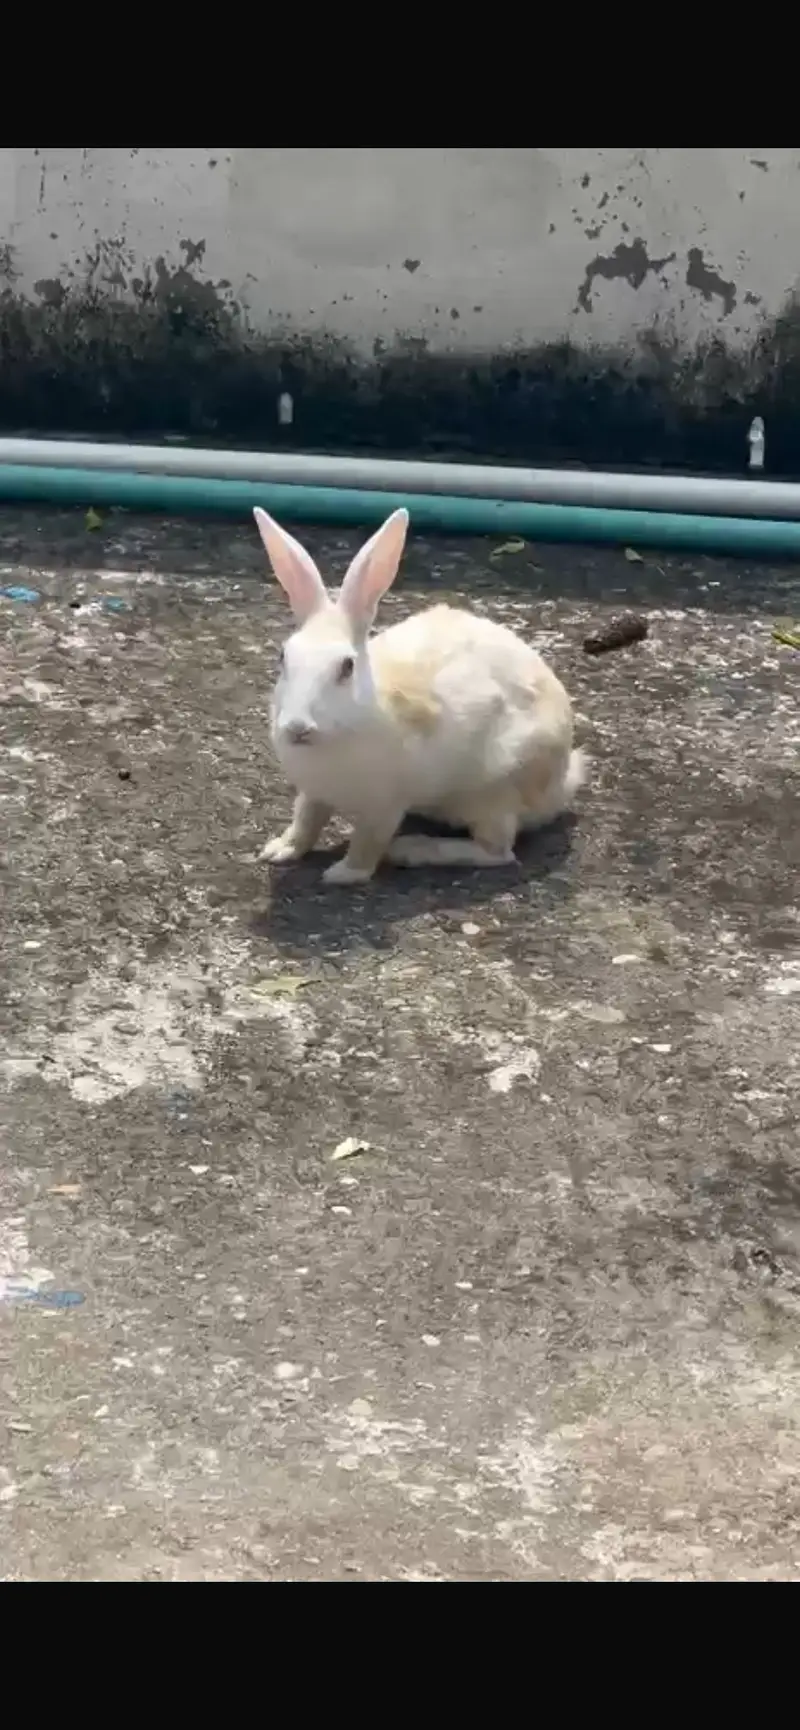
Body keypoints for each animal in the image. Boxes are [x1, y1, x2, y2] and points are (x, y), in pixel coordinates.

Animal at [254, 505, 586, 887]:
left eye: (347, 667)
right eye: (283, 658)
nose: (297, 728)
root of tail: (562, 782)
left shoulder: (384, 805)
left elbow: (367, 844)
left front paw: (343, 874)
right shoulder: (313, 793)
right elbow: (306, 820)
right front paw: (279, 850)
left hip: (494, 790)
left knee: (498, 851)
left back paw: (411, 850)